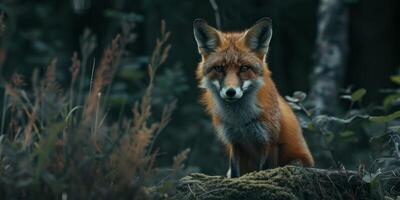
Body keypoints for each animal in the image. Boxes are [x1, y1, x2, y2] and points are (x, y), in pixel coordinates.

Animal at [194, 16, 316, 177]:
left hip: (296, 161)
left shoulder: (269, 142)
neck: (240, 121)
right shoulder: (235, 143)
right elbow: (235, 174)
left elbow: (265, 169)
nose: (230, 92)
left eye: (244, 68)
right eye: (219, 68)